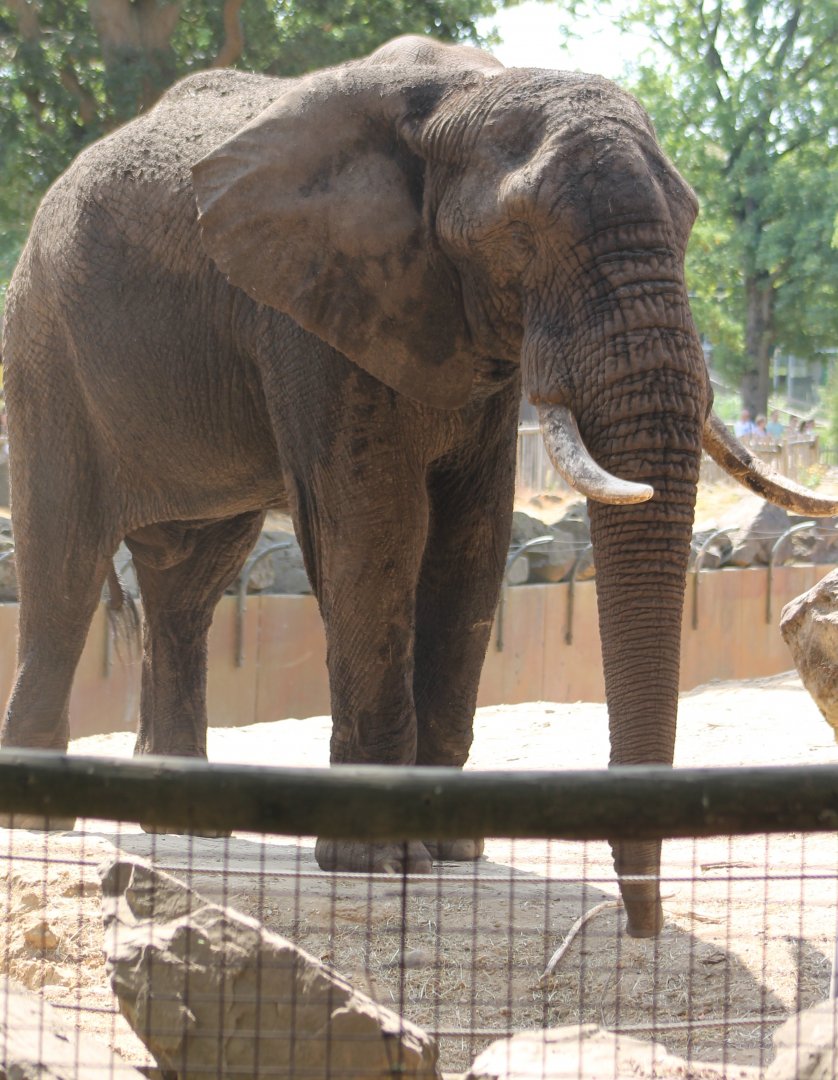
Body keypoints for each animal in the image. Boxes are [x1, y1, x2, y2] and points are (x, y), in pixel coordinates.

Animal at [3, 34, 836, 937]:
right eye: (520, 232)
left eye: (689, 222)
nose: (639, 928)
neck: (462, 93)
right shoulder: (310, 308)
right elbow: (376, 530)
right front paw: (377, 861)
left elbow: (473, 536)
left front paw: (453, 849)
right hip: (45, 344)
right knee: (65, 565)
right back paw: (42, 815)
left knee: (188, 585)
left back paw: (190, 822)